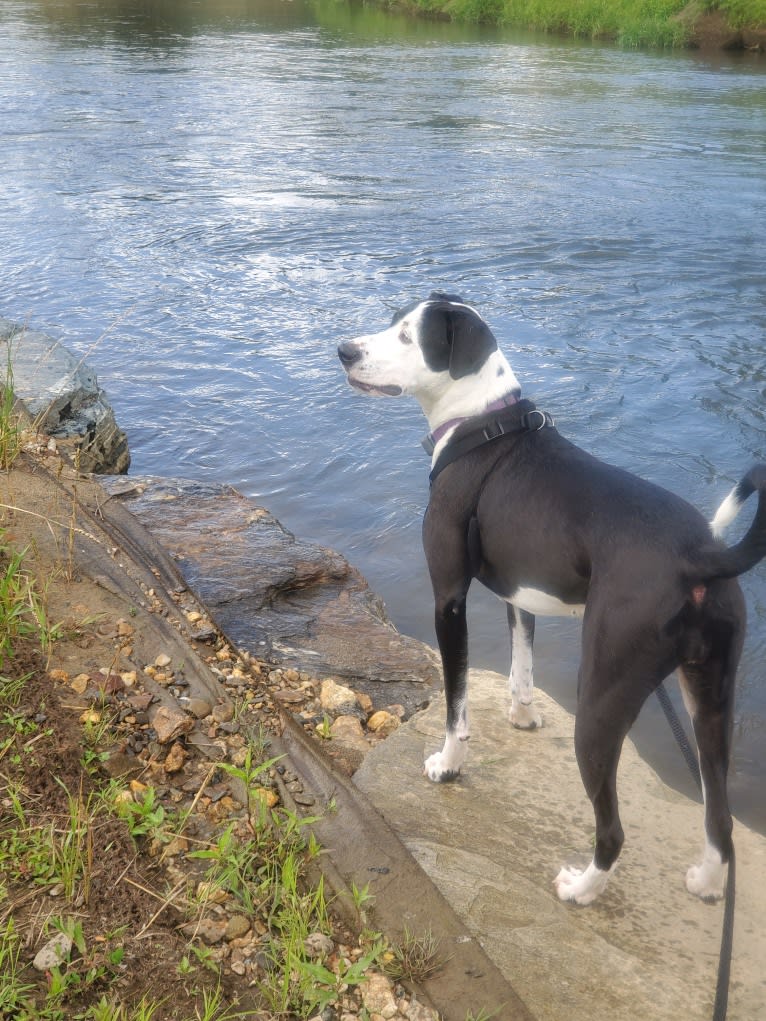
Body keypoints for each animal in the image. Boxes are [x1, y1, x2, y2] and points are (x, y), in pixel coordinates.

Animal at [341, 292, 766, 906]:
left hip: (602, 701)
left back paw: (582, 890)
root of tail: (702, 556)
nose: (343, 351)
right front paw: (522, 716)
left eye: (407, 336)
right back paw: (707, 882)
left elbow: (456, 705)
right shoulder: (519, 594)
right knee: (720, 816)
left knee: (613, 829)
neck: (483, 427)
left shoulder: (449, 600)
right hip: (709, 697)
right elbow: (521, 667)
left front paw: (449, 766)